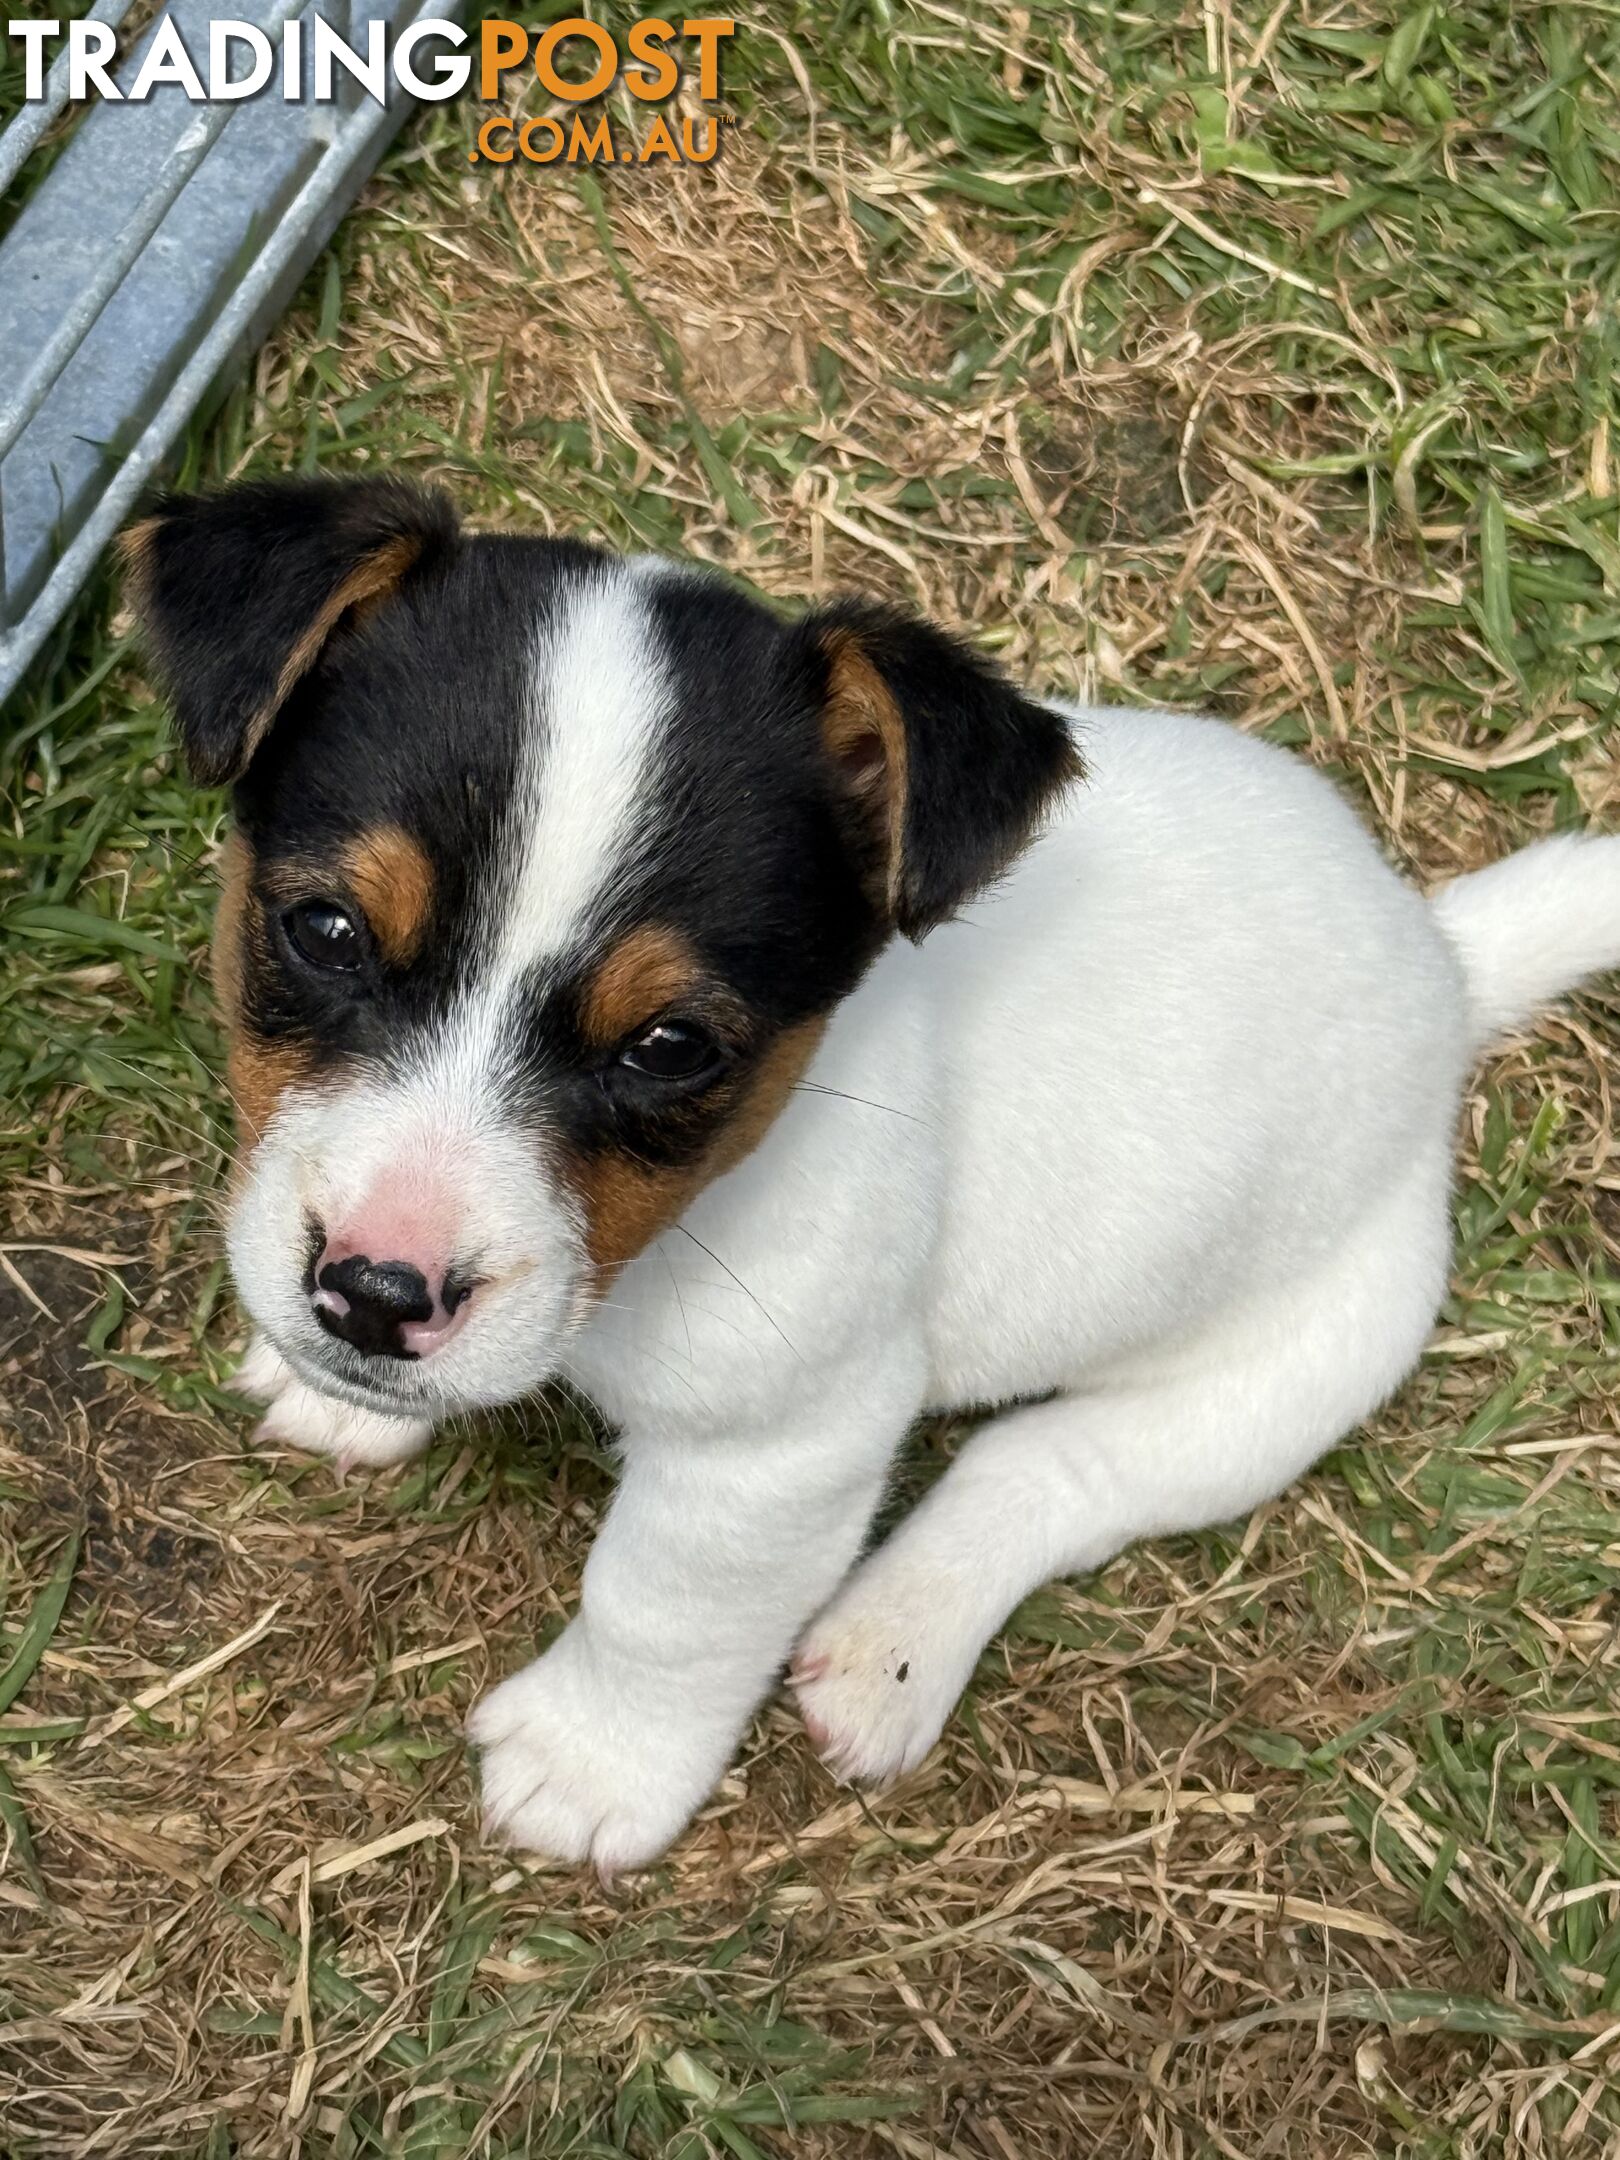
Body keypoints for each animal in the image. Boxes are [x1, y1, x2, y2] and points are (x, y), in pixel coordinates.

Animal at [123, 477, 1620, 1874]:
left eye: (670, 1046)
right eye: (325, 930)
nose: (375, 1297)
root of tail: (1443, 968)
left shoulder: (777, 1449)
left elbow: (658, 1609)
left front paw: (593, 1765)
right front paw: (341, 1396)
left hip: (1294, 1365)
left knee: (1046, 1468)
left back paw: (895, 1640)